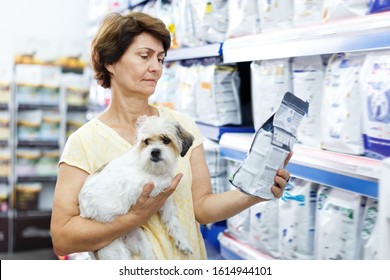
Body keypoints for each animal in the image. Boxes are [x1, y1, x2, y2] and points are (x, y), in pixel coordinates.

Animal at [78, 115, 195, 260]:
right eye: (146, 141)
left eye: (166, 140)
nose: (154, 151)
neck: (151, 168)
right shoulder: (137, 187)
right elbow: (160, 182)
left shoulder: (165, 203)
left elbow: (173, 220)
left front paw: (182, 241)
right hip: (116, 251)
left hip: (139, 239)